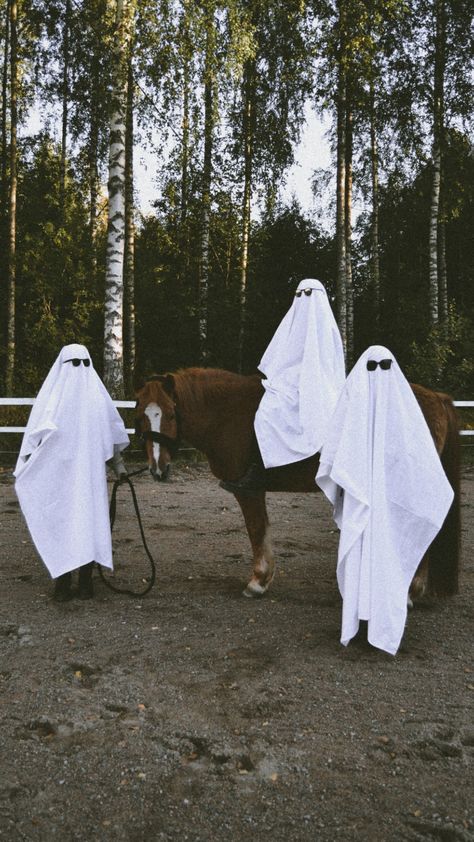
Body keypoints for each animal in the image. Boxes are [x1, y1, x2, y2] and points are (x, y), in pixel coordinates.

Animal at [135, 366, 462, 596]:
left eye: (171, 414)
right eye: (141, 415)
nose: (157, 469)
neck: (231, 414)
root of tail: (436, 397)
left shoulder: (247, 489)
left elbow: (256, 530)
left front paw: (258, 581)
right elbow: (263, 529)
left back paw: (410, 591)